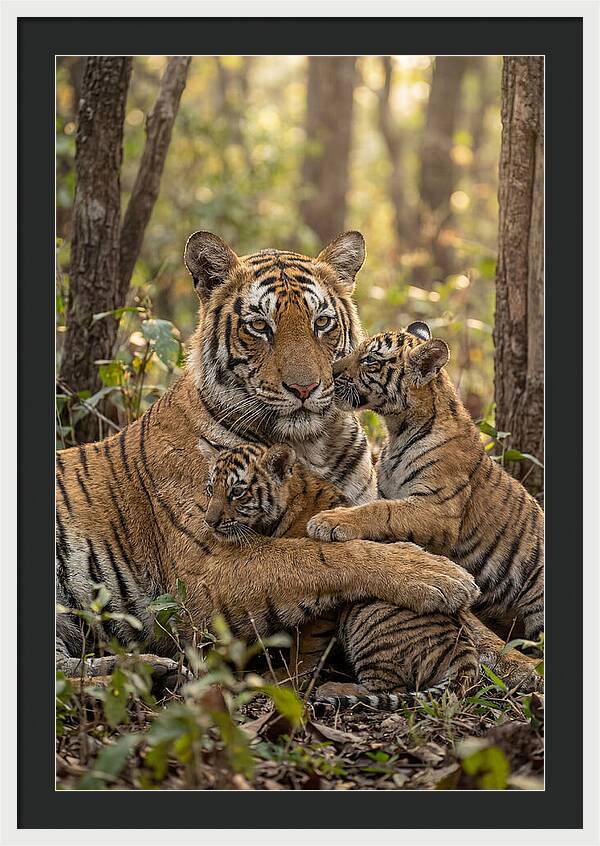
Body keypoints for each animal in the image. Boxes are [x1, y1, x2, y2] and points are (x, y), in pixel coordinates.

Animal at [56, 231, 481, 678]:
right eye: (260, 326)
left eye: (322, 323)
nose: (305, 388)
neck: (310, 444)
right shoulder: (208, 567)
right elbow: (317, 555)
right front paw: (438, 575)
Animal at [198, 438, 480, 705]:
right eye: (211, 489)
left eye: (237, 492)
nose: (209, 522)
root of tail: (463, 649)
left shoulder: (322, 601)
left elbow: (306, 646)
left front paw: (289, 677)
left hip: (367, 618)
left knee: (389, 687)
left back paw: (333, 688)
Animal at [307, 322, 544, 643]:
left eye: (370, 360)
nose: (330, 372)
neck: (398, 429)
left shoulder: (438, 508)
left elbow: (382, 511)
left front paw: (329, 521)